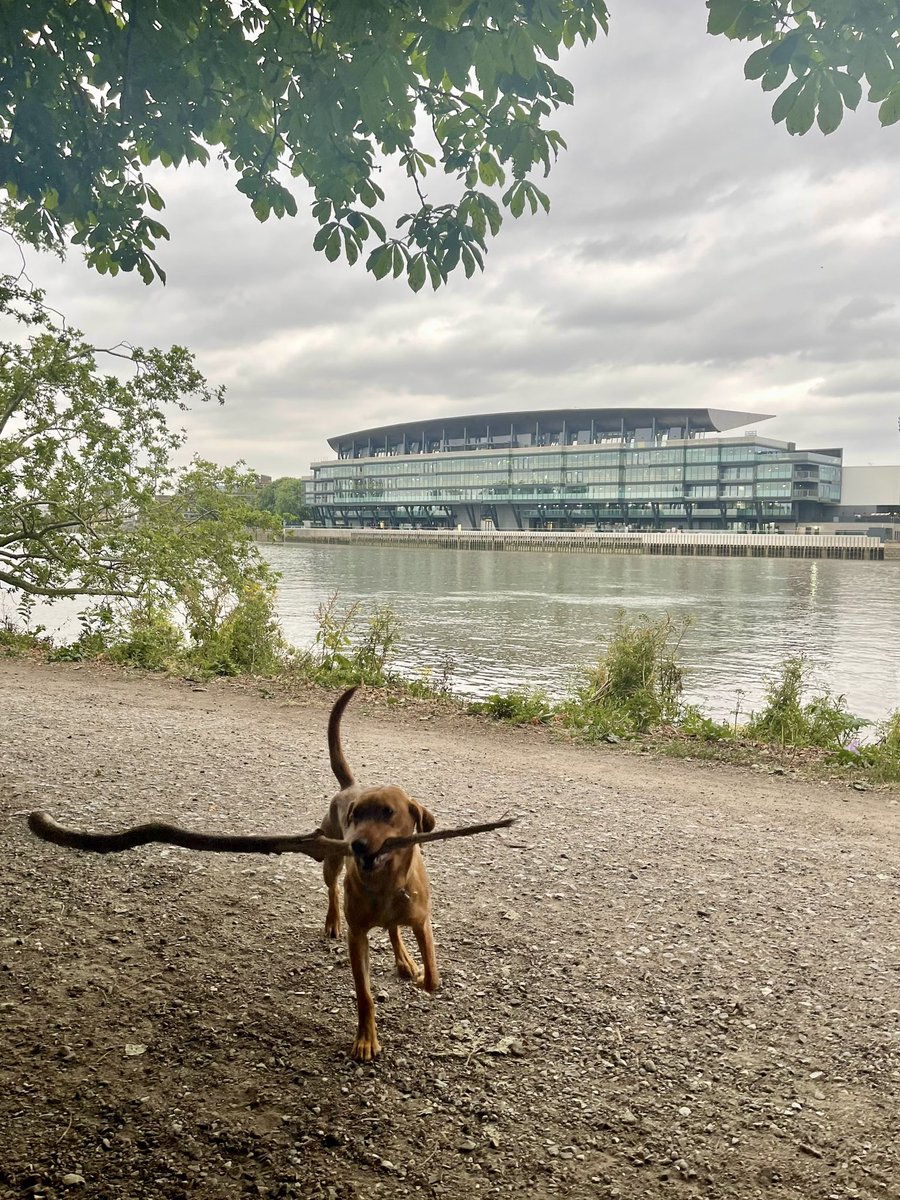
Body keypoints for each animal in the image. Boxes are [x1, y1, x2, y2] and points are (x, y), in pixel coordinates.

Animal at [319, 686, 441, 1060]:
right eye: (356, 815)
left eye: (388, 812)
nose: (357, 845)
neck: (386, 883)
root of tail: (350, 785)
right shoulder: (357, 936)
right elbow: (365, 995)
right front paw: (365, 1039)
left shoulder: (422, 921)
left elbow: (432, 974)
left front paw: (420, 973)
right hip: (330, 861)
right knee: (332, 890)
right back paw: (332, 920)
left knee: (393, 929)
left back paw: (404, 961)